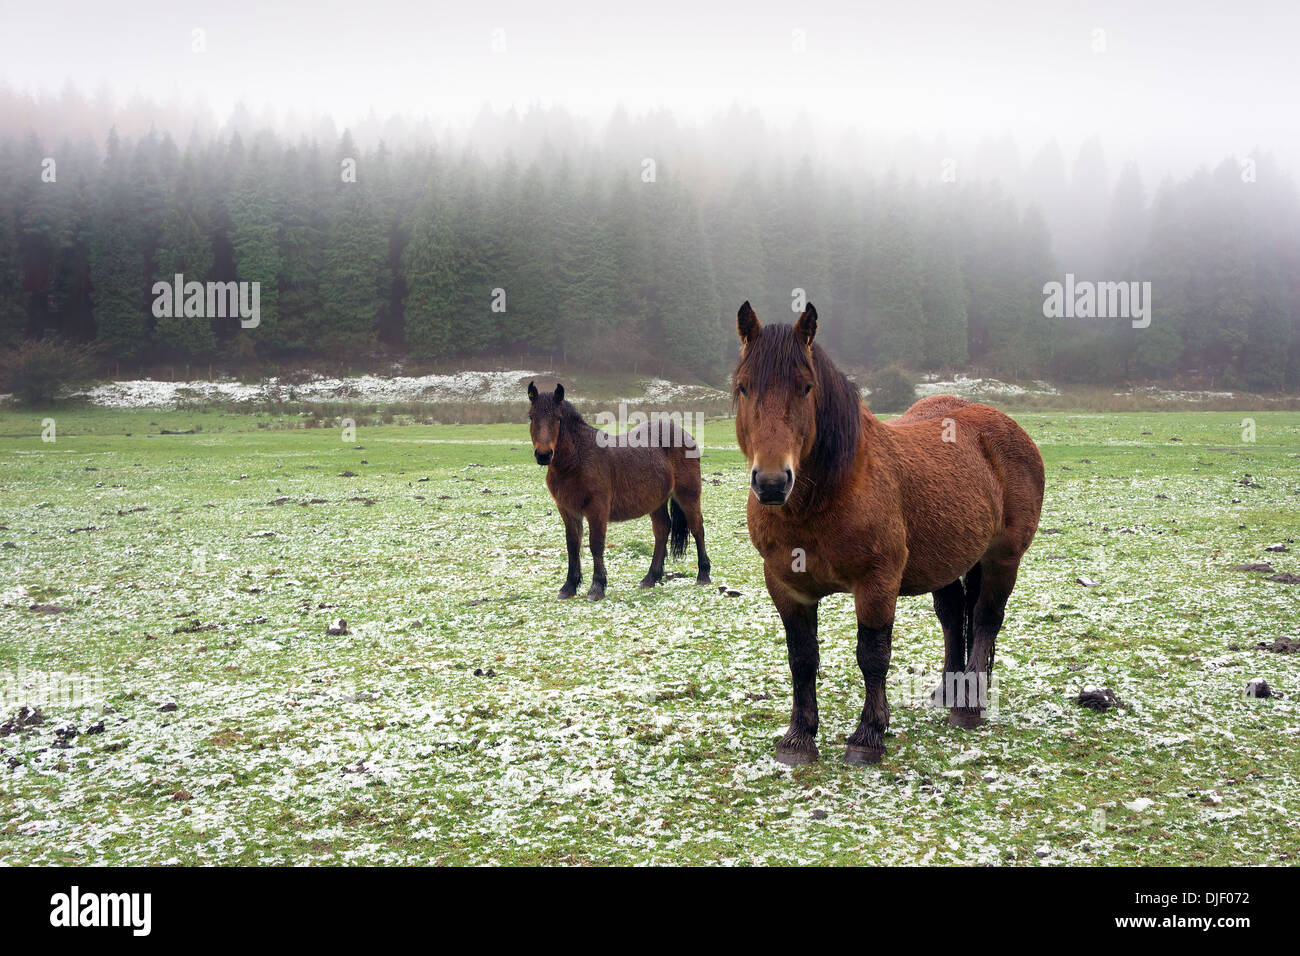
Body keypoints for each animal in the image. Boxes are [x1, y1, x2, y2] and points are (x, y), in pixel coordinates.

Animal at [527, 381, 712, 600]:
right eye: (531, 416)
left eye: (558, 418)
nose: (543, 454)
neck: (577, 460)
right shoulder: (567, 510)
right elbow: (572, 545)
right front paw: (569, 586)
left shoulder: (597, 509)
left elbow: (596, 544)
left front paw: (597, 587)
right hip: (656, 501)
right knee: (662, 530)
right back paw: (650, 578)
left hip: (688, 495)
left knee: (697, 528)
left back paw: (703, 575)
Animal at [732, 301, 1045, 765]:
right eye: (743, 387)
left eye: (806, 388)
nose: (771, 483)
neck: (828, 494)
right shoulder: (787, 587)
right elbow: (802, 658)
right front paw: (799, 738)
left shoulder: (877, 582)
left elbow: (873, 656)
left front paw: (868, 736)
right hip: (947, 561)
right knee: (953, 617)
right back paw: (950, 693)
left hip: (1003, 559)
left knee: (986, 620)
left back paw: (968, 706)